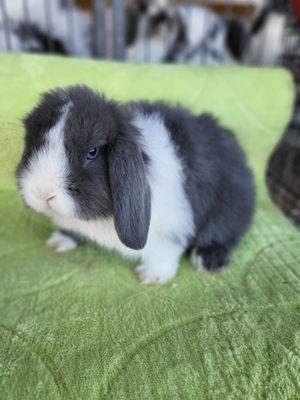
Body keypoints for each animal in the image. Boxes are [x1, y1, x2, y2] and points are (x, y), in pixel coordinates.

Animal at [17, 85, 255, 284]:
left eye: (92, 152)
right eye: (35, 143)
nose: (43, 193)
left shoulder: (173, 226)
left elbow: (166, 250)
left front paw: (151, 277)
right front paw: (59, 241)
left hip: (228, 211)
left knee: (224, 236)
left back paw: (207, 261)